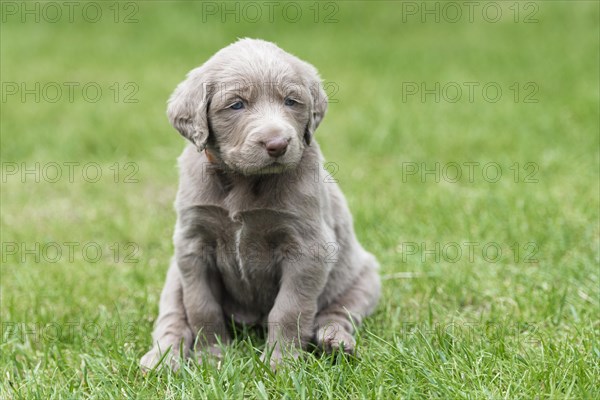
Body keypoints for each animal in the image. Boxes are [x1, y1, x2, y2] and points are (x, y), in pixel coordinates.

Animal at [141, 39, 380, 370]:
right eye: (237, 105)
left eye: (291, 101)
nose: (277, 144)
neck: (244, 179)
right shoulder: (193, 245)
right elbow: (201, 306)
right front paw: (212, 356)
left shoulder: (309, 248)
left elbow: (290, 309)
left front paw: (282, 363)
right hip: (175, 277)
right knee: (173, 317)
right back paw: (162, 358)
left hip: (365, 279)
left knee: (337, 312)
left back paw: (334, 341)